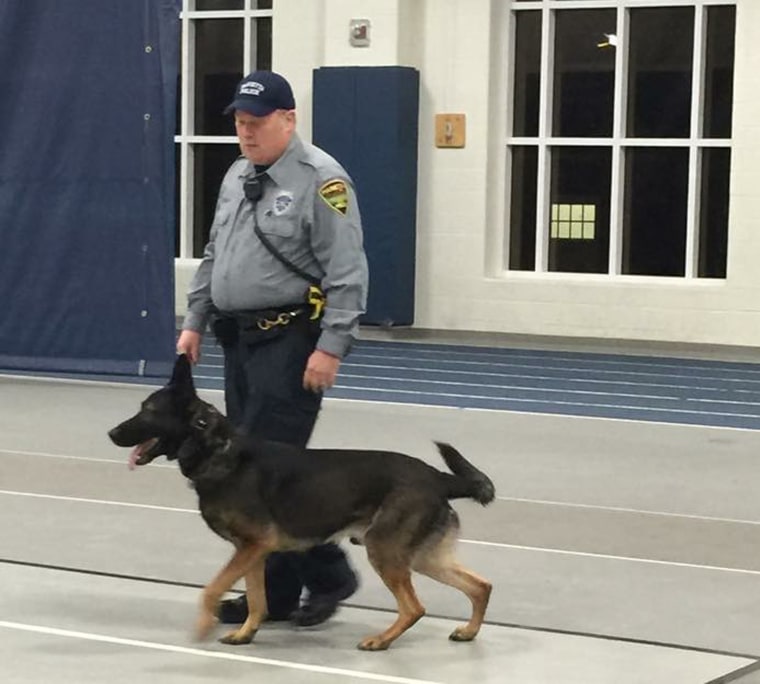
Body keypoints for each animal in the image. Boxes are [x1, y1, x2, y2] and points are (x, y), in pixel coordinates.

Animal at [110, 356, 496, 648]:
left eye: (148, 411)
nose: (111, 433)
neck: (216, 448)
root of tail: (438, 476)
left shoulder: (253, 546)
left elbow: (211, 590)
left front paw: (204, 625)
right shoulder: (252, 551)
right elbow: (257, 599)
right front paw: (246, 633)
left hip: (386, 552)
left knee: (415, 607)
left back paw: (382, 640)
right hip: (421, 557)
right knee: (480, 586)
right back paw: (469, 631)